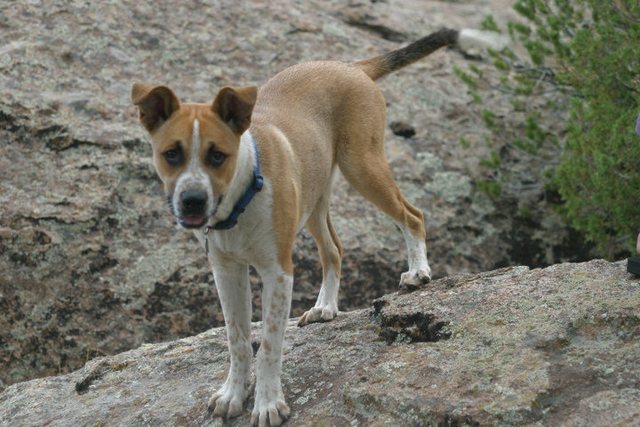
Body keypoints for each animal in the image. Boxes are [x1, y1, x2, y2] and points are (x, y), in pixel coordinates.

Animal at [131, 27, 504, 427]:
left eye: (218, 155)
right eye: (171, 154)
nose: (192, 200)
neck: (241, 198)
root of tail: (350, 66)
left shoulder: (278, 272)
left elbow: (269, 344)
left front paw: (267, 403)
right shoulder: (226, 271)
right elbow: (237, 339)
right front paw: (233, 394)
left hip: (362, 166)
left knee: (412, 215)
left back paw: (418, 271)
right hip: (314, 198)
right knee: (334, 250)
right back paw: (325, 307)